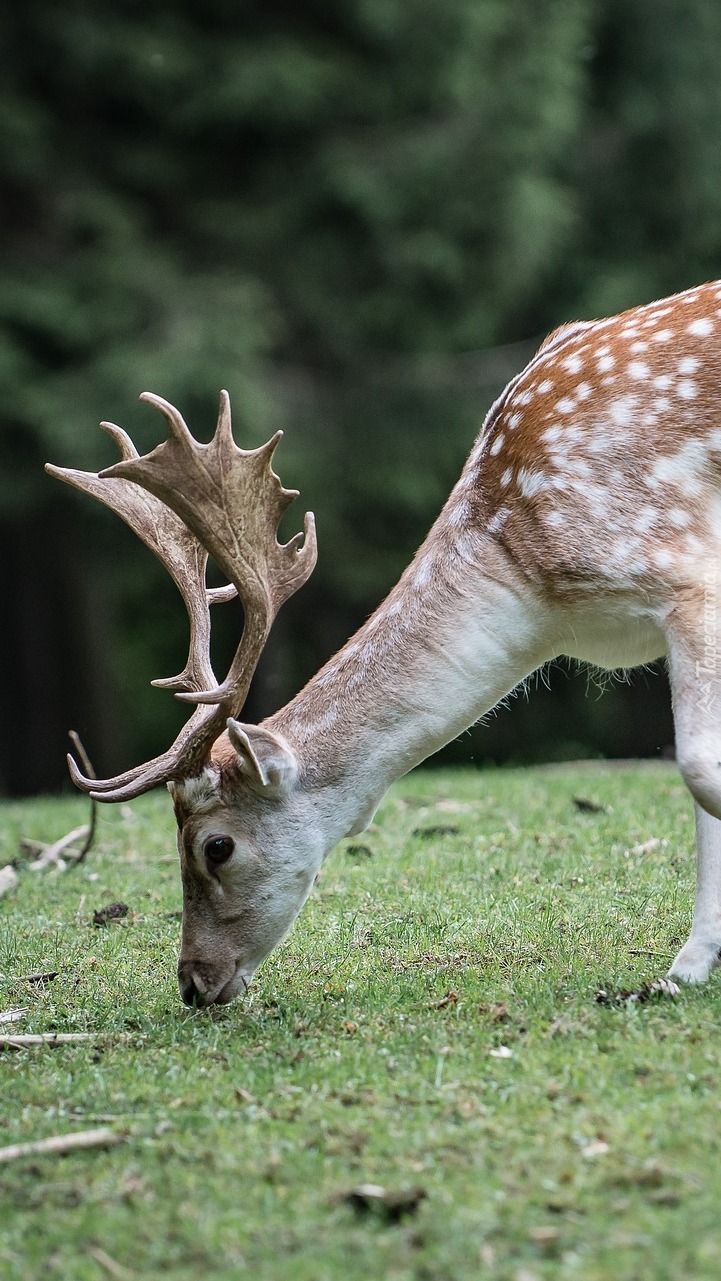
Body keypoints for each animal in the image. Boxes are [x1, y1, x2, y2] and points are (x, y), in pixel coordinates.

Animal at [46, 277, 721, 999]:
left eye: (215, 845)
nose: (194, 983)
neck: (542, 594)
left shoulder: (685, 573)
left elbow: (696, 766)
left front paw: (686, 966)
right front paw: (685, 970)